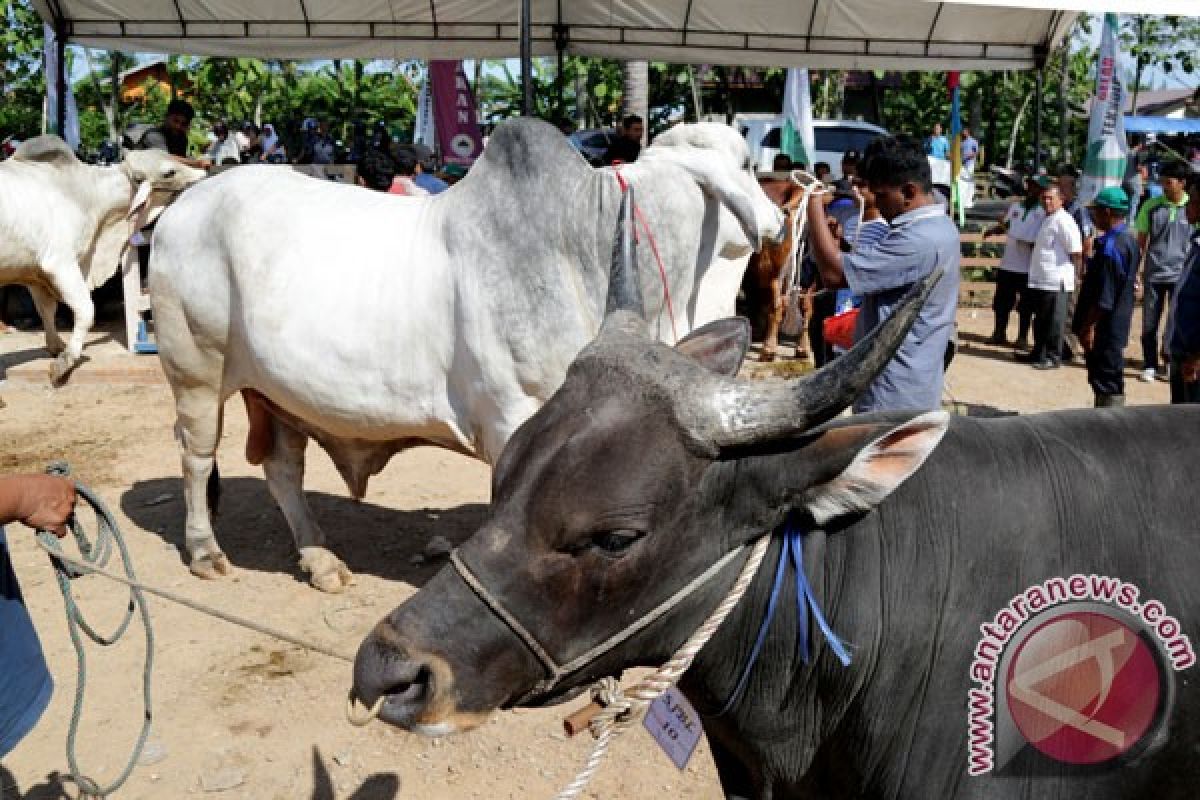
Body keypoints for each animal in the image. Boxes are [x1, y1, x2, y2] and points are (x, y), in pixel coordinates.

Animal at [0, 136, 202, 383]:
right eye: (169, 172)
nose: (203, 173)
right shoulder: (60, 264)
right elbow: (86, 310)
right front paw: (65, 361)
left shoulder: (34, 273)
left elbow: (46, 310)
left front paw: (56, 347)